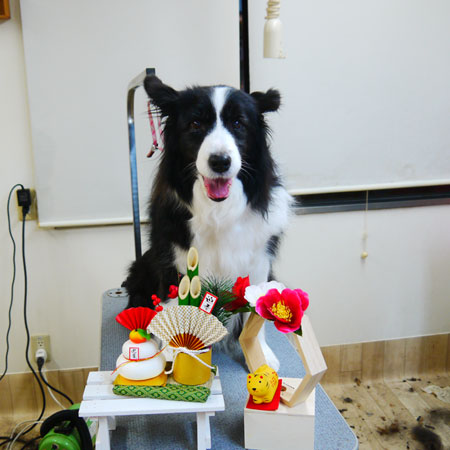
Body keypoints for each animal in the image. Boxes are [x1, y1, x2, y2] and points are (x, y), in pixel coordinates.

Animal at [123, 76, 292, 364]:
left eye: (238, 123)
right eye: (195, 124)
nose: (220, 162)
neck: (218, 211)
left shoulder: (259, 260)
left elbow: (255, 316)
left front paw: (260, 355)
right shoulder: (173, 257)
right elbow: (173, 306)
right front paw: (173, 353)